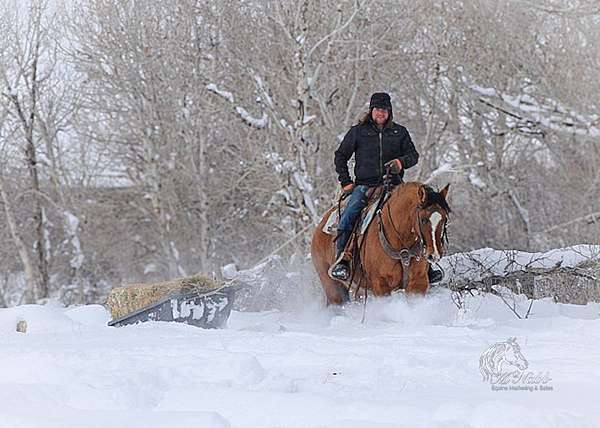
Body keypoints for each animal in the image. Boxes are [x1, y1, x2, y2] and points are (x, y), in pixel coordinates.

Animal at [312, 182, 448, 306]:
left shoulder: (418, 283)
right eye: (423, 220)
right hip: (332, 287)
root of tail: (320, 226)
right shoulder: (381, 285)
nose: (434, 255)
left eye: (444, 219)